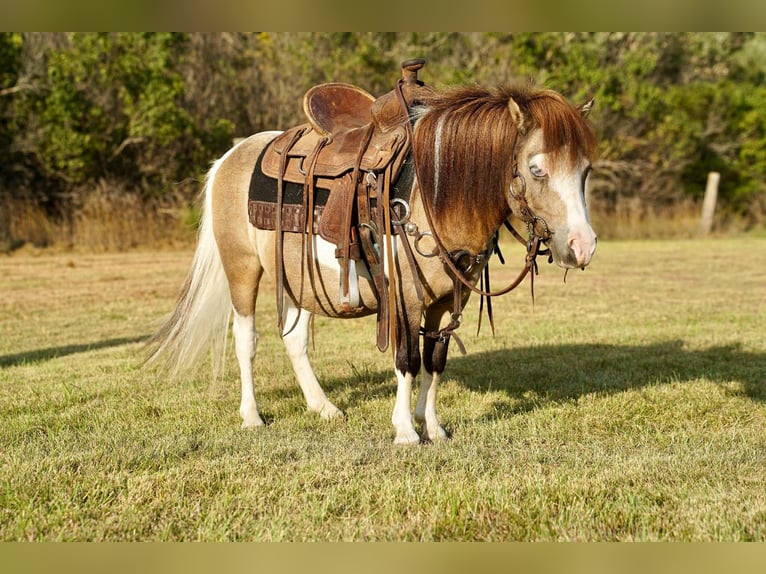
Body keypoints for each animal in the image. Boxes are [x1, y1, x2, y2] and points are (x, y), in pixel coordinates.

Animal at [147, 78, 598, 445]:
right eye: (537, 169)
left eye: (585, 170)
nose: (583, 246)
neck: (436, 191)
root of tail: (229, 157)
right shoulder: (406, 297)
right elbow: (407, 360)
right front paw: (406, 431)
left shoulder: (448, 299)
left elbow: (435, 360)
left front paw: (433, 426)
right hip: (242, 269)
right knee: (246, 340)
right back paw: (252, 416)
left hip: (298, 278)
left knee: (294, 340)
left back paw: (323, 407)